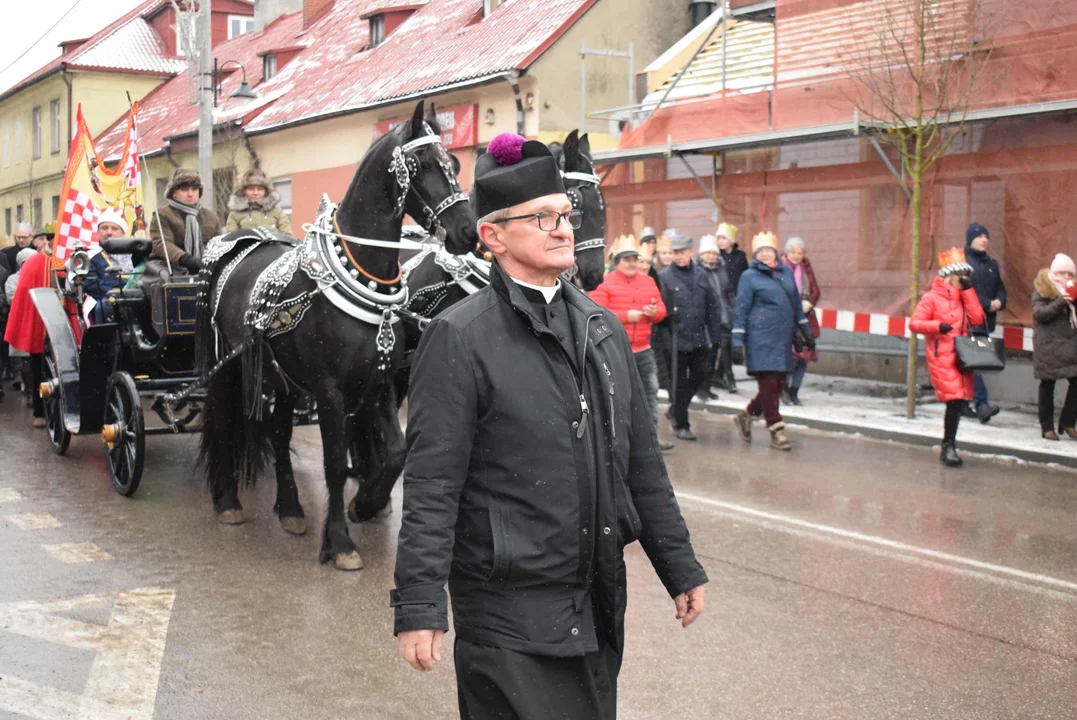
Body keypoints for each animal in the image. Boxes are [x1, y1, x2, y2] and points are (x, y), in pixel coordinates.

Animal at [198, 99, 476, 568]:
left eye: (454, 163)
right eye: (420, 164)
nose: (468, 232)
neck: (363, 273)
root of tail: (241, 240)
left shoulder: (381, 380)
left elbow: (396, 452)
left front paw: (364, 503)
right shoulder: (330, 391)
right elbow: (332, 463)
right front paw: (341, 543)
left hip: (283, 380)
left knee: (278, 435)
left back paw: (291, 509)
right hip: (226, 370)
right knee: (224, 425)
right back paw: (228, 502)